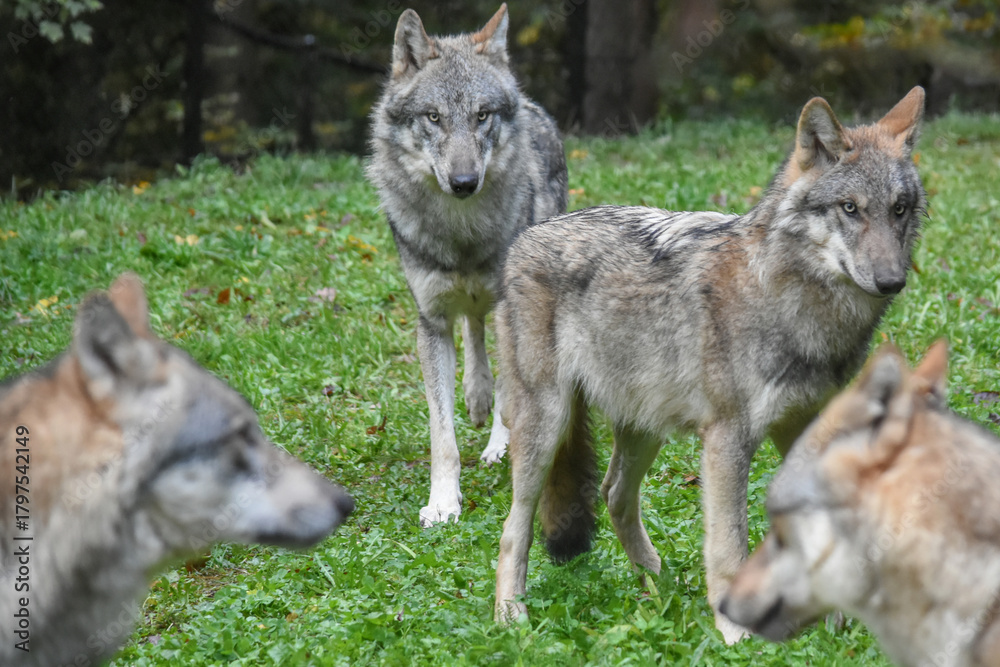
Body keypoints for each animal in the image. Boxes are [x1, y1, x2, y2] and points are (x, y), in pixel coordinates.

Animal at [367, 4, 567, 526]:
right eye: (434, 117)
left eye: (482, 115)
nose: (463, 182)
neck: (461, 235)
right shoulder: (432, 320)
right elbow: (443, 436)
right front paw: (442, 502)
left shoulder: (510, 304)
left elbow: (511, 394)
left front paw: (503, 445)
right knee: (474, 330)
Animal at [493, 87, 926, 643]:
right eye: (850, 208)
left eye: (899, 210)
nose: (892, 281)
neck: (796, 307)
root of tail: (523, 239)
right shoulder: (727, 438)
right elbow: (728, 546)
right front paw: (737, 634)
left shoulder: (806, 431)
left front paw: (833, 622)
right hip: (547, 426)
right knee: (515, 526)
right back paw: (512, 615)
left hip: (643, 425)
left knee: (614, 494)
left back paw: (661, 587)